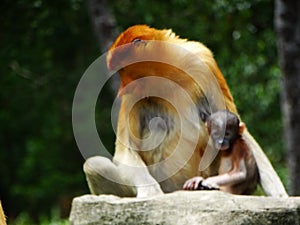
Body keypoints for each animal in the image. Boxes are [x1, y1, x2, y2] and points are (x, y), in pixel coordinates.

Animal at [82, 24, 288, 197]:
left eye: (123, 69)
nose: (122, 89)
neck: (167, 72)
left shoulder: (203, 61)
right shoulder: (133, 97)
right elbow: (126, 151)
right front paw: (151, 194)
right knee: (94, 165)